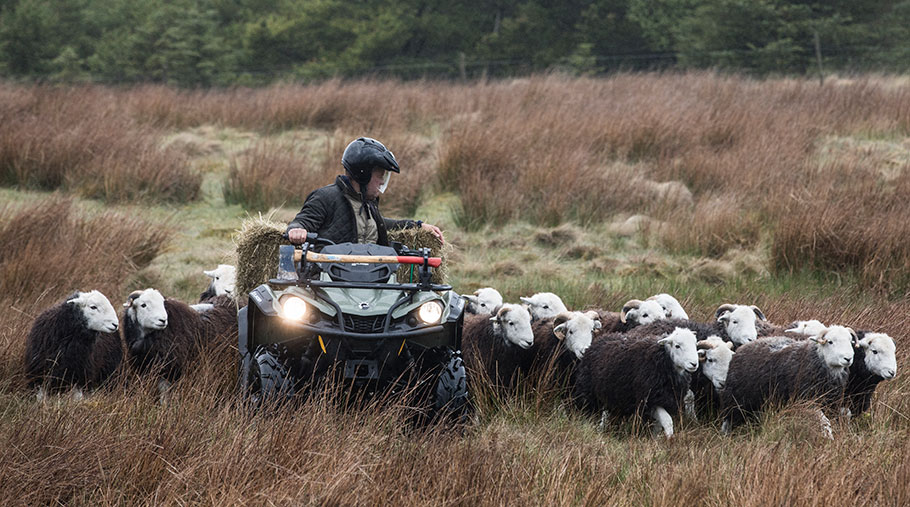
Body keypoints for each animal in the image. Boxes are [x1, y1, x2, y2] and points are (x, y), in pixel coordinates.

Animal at [572, 328, 700, 438]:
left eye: (695, 345)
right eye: (677, 346)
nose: (694, 364)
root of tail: (601, 338)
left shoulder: (664, 399)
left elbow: (659, 425)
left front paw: (655, 440)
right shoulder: (648, 400)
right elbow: (668, 421)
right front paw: (669, 441)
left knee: (605, 413)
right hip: (589, 391)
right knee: (590, 411)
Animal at [720, 328, 856, 438]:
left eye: (850, 341)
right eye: (830, 342)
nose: (848, 358)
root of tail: (741, 349)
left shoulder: (832, 403)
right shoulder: (806, 401)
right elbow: (824, 421)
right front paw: (829, 437)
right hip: (736, 402)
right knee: (728, 422)